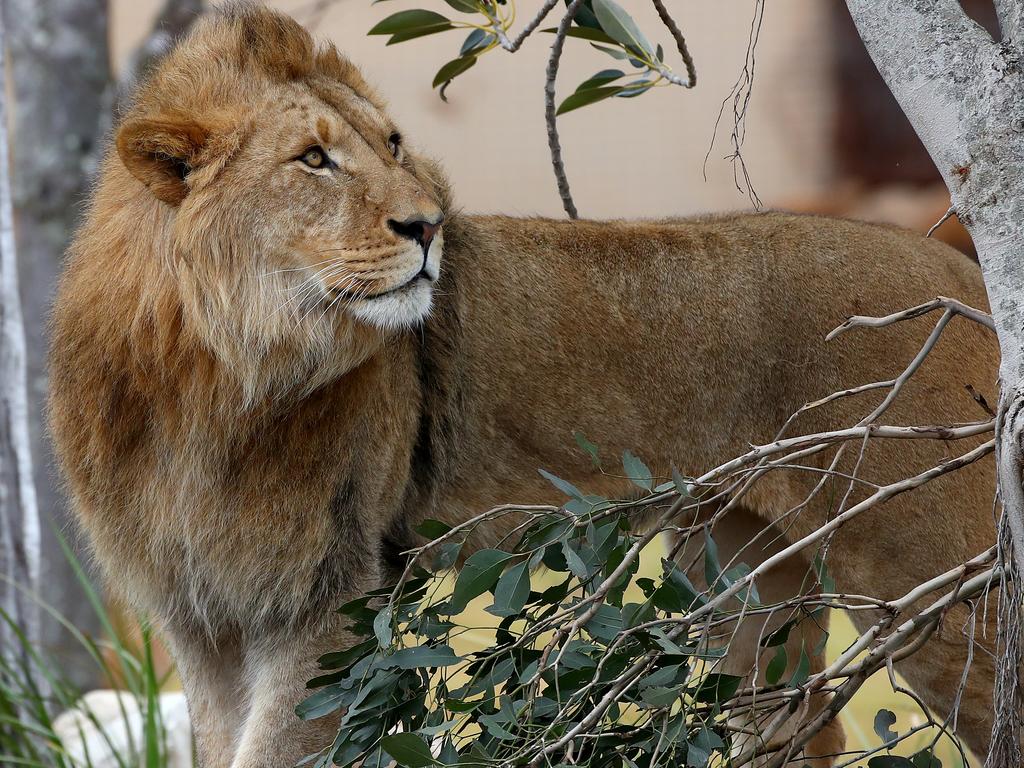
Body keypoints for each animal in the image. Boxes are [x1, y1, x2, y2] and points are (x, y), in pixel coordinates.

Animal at [49, 3, 999, 765]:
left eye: (392, 144)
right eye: (313, 159)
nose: (427, 225)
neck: (211, 373)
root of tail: (963, 269)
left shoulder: (324, 600)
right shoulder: (202, 618)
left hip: (932, 583)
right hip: (743, 574)